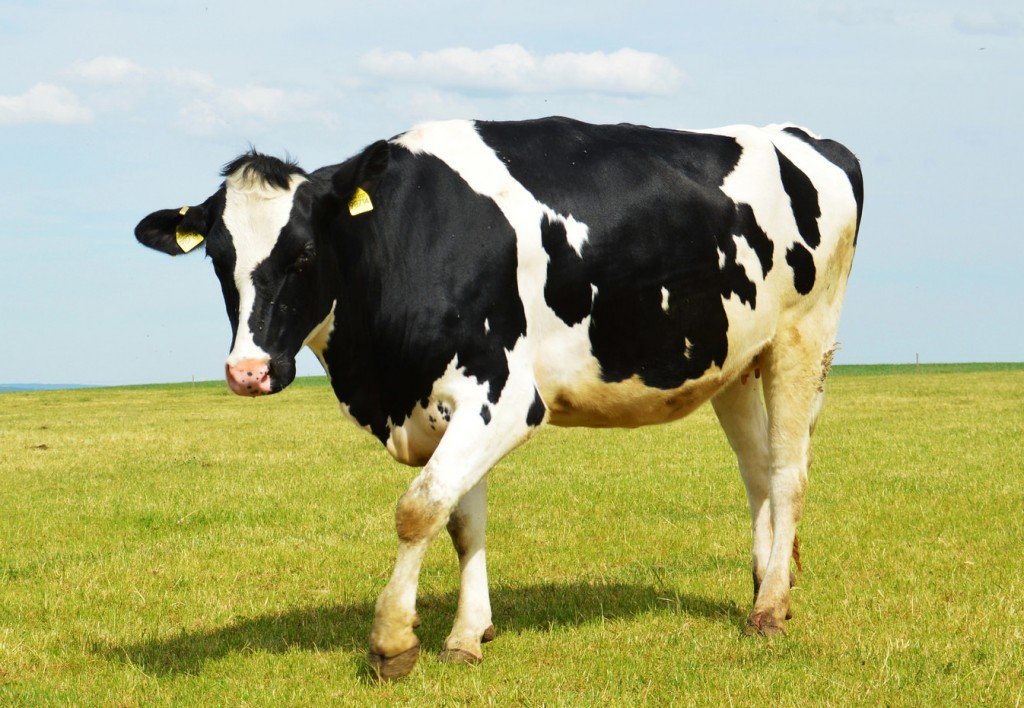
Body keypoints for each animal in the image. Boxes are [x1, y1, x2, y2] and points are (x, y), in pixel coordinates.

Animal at [135, 116, 862, 680]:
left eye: (305, 254)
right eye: (217, 259)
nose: (248, 371)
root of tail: (805, 138)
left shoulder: (504, 395)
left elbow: (418, 508)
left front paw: (394, 641)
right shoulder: (445, 406)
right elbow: (461, 519)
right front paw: (467, 635)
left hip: (804, 337)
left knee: (788, 472)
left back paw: (768, 610)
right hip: (736, 360)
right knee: (757, 471)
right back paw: (771, 584)